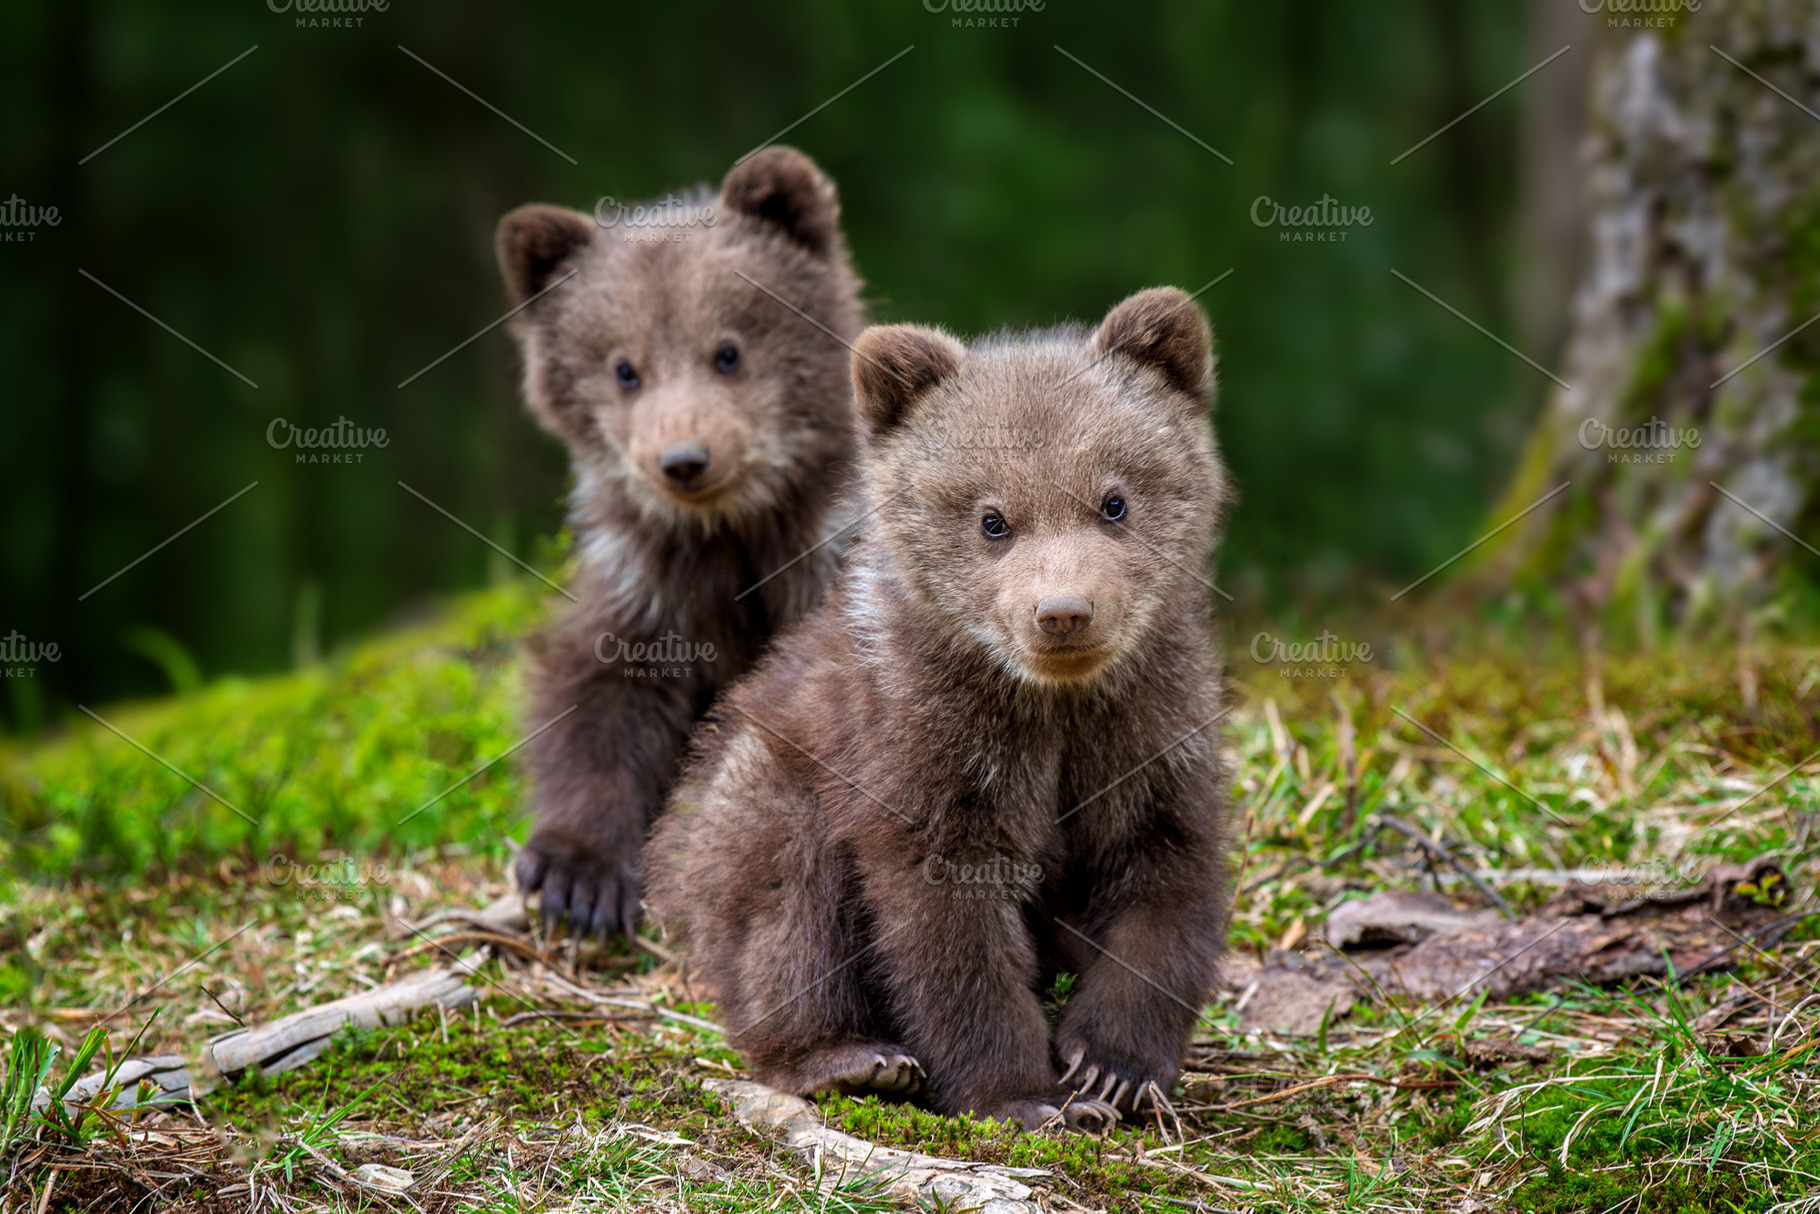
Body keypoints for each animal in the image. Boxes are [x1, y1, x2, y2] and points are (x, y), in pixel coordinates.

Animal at [496, 147, 864, 941]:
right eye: (623, 368)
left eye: (727, 350)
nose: (685, 459)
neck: (731, 529)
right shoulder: (643, 579)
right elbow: (596, 698)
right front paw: (578, 874)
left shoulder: (828, 551)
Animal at [647, 287, 1235, 1132]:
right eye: (992, 519)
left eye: (1114, 501)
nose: (1064, 613)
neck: (1052, 702)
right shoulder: (926, 739)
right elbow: (948, 923)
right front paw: (1021, 1093)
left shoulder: (1150, 725)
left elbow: (1164, 877)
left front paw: (1113, 1066)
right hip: (760, 790)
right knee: (785, 906)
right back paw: (847, 1057)